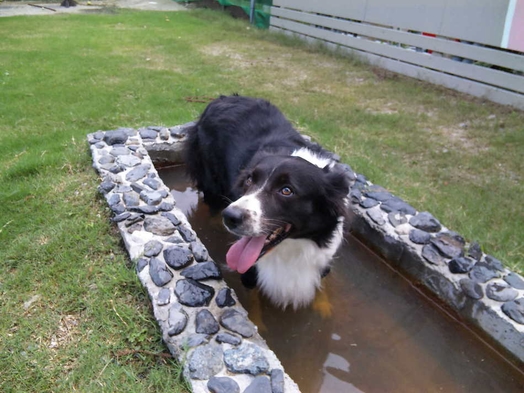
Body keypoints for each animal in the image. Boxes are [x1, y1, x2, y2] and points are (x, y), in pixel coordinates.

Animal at [182, 95, 350, 310]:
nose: (230, 217)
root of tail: (222, 98)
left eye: (286, 190)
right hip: (211, 180)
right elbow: (253, 303)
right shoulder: (249, 269)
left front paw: (324, 307)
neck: (291, 247)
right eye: (249, 180)